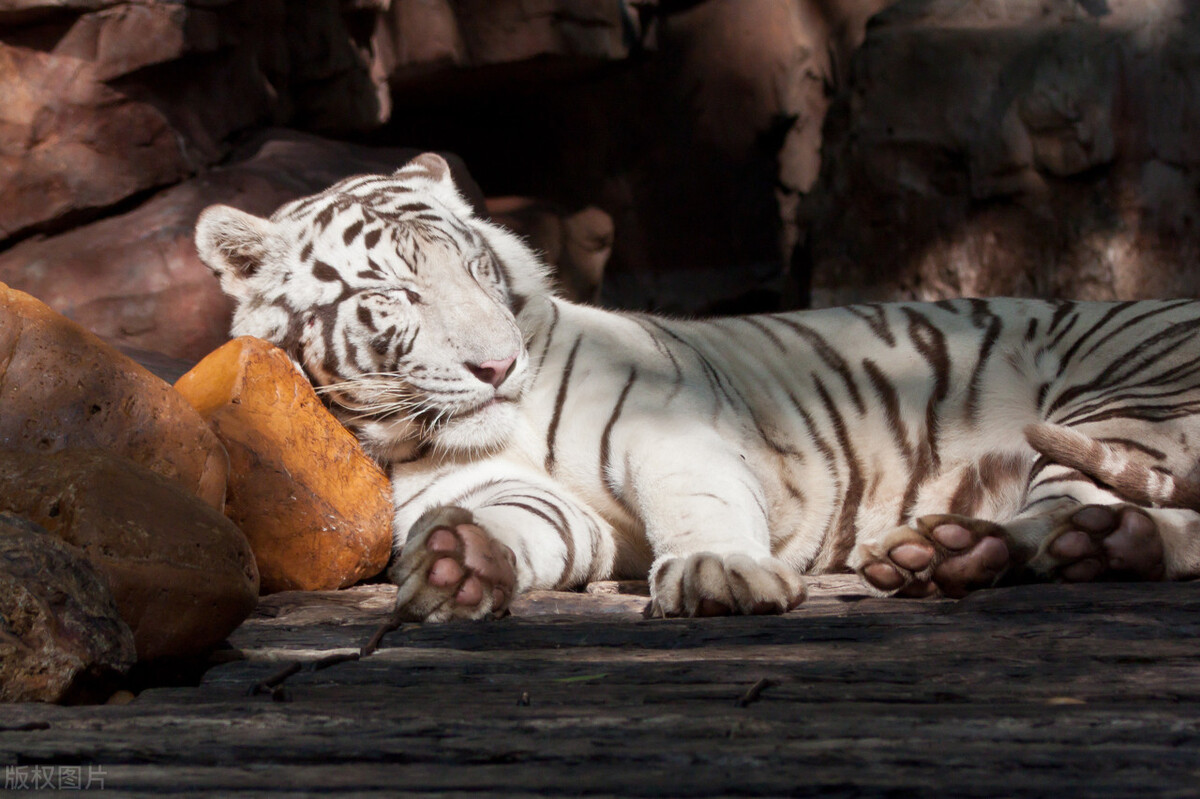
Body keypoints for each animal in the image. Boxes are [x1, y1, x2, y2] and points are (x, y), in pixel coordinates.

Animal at [192, 152, 1200, 619]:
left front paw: (720, 571)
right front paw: (460, 562)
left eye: (476, 269)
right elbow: (529, 522)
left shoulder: (669, 427)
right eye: (396, 293)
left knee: (1109, 513)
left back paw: (969, 549)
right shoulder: (522, 495)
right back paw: (956, 553)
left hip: (1126, 399)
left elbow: (697, 499)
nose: (498, 366)